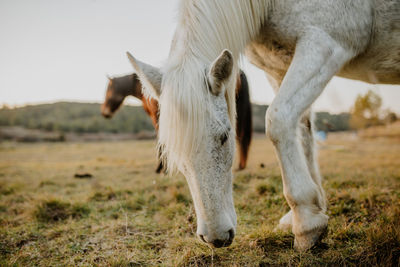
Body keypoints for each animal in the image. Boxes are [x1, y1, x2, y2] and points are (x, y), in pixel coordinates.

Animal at [126, 0, 398, 251]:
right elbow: (302, 132)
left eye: (225, 137)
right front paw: (311, 210)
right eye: (172, 151)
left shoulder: (325, 44)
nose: (214, 238)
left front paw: (306, 224)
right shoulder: (279, 67)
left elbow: (278, 120)